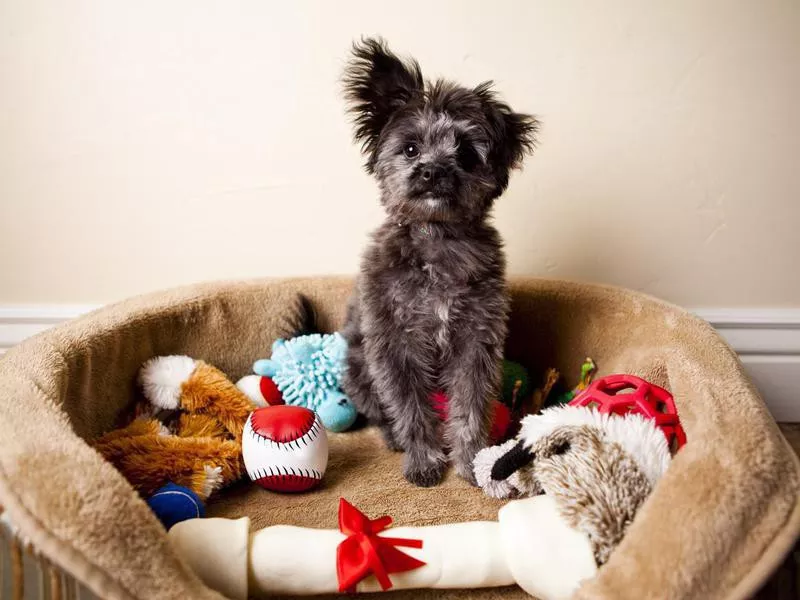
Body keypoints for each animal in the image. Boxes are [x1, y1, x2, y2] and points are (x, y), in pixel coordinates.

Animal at [340, 38, 536, 488]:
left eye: (465, 153)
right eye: (411, 148)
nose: (431, 172)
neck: (437, 242)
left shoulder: (476, 341)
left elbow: (471, 406)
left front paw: (471, 461)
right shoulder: (397, 345)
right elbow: (410, 408)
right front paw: (425, 459)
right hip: (359, 368)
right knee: (381, 412)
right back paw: (393, 439)